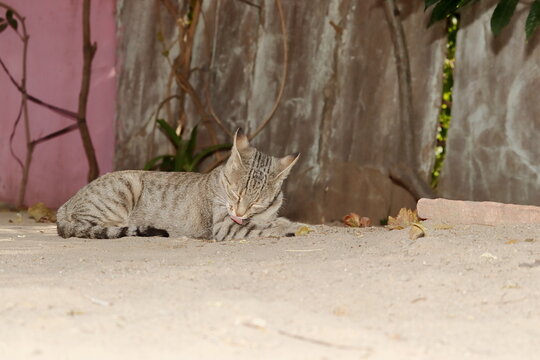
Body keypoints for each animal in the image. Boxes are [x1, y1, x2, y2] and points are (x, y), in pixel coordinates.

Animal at [57, 128, 302, 240]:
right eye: (234, 193)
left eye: (257, 202)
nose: (239, 212)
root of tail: (64, 205)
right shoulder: (226, 227)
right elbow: (263, 228)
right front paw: (290, 229)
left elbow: (273, 221)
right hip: (124, 189)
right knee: (89, 227)